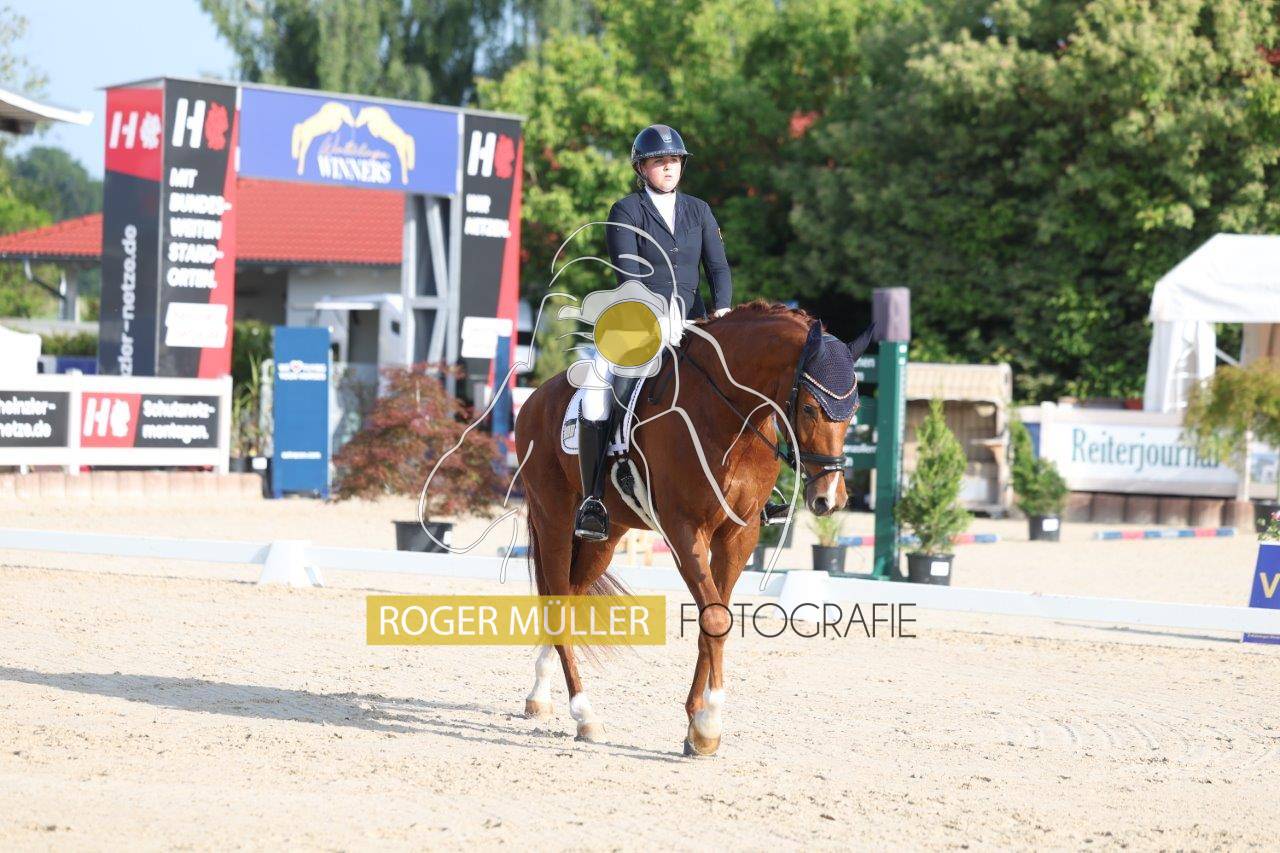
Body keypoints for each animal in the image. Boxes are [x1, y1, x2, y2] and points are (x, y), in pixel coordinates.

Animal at [513, 300, 870, 755]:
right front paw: (709, 725)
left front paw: (695, 725)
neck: (729, 415)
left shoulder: (738, 536)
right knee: (557, 601)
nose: (830, 499)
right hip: (554, 518)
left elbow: (713, 618)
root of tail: (536, 397)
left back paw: (540, 695)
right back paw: (584, 715)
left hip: (605, 537)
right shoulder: (685, 529)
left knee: (571, 596)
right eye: (809, 408)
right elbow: (715, 620)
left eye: (854, 412)